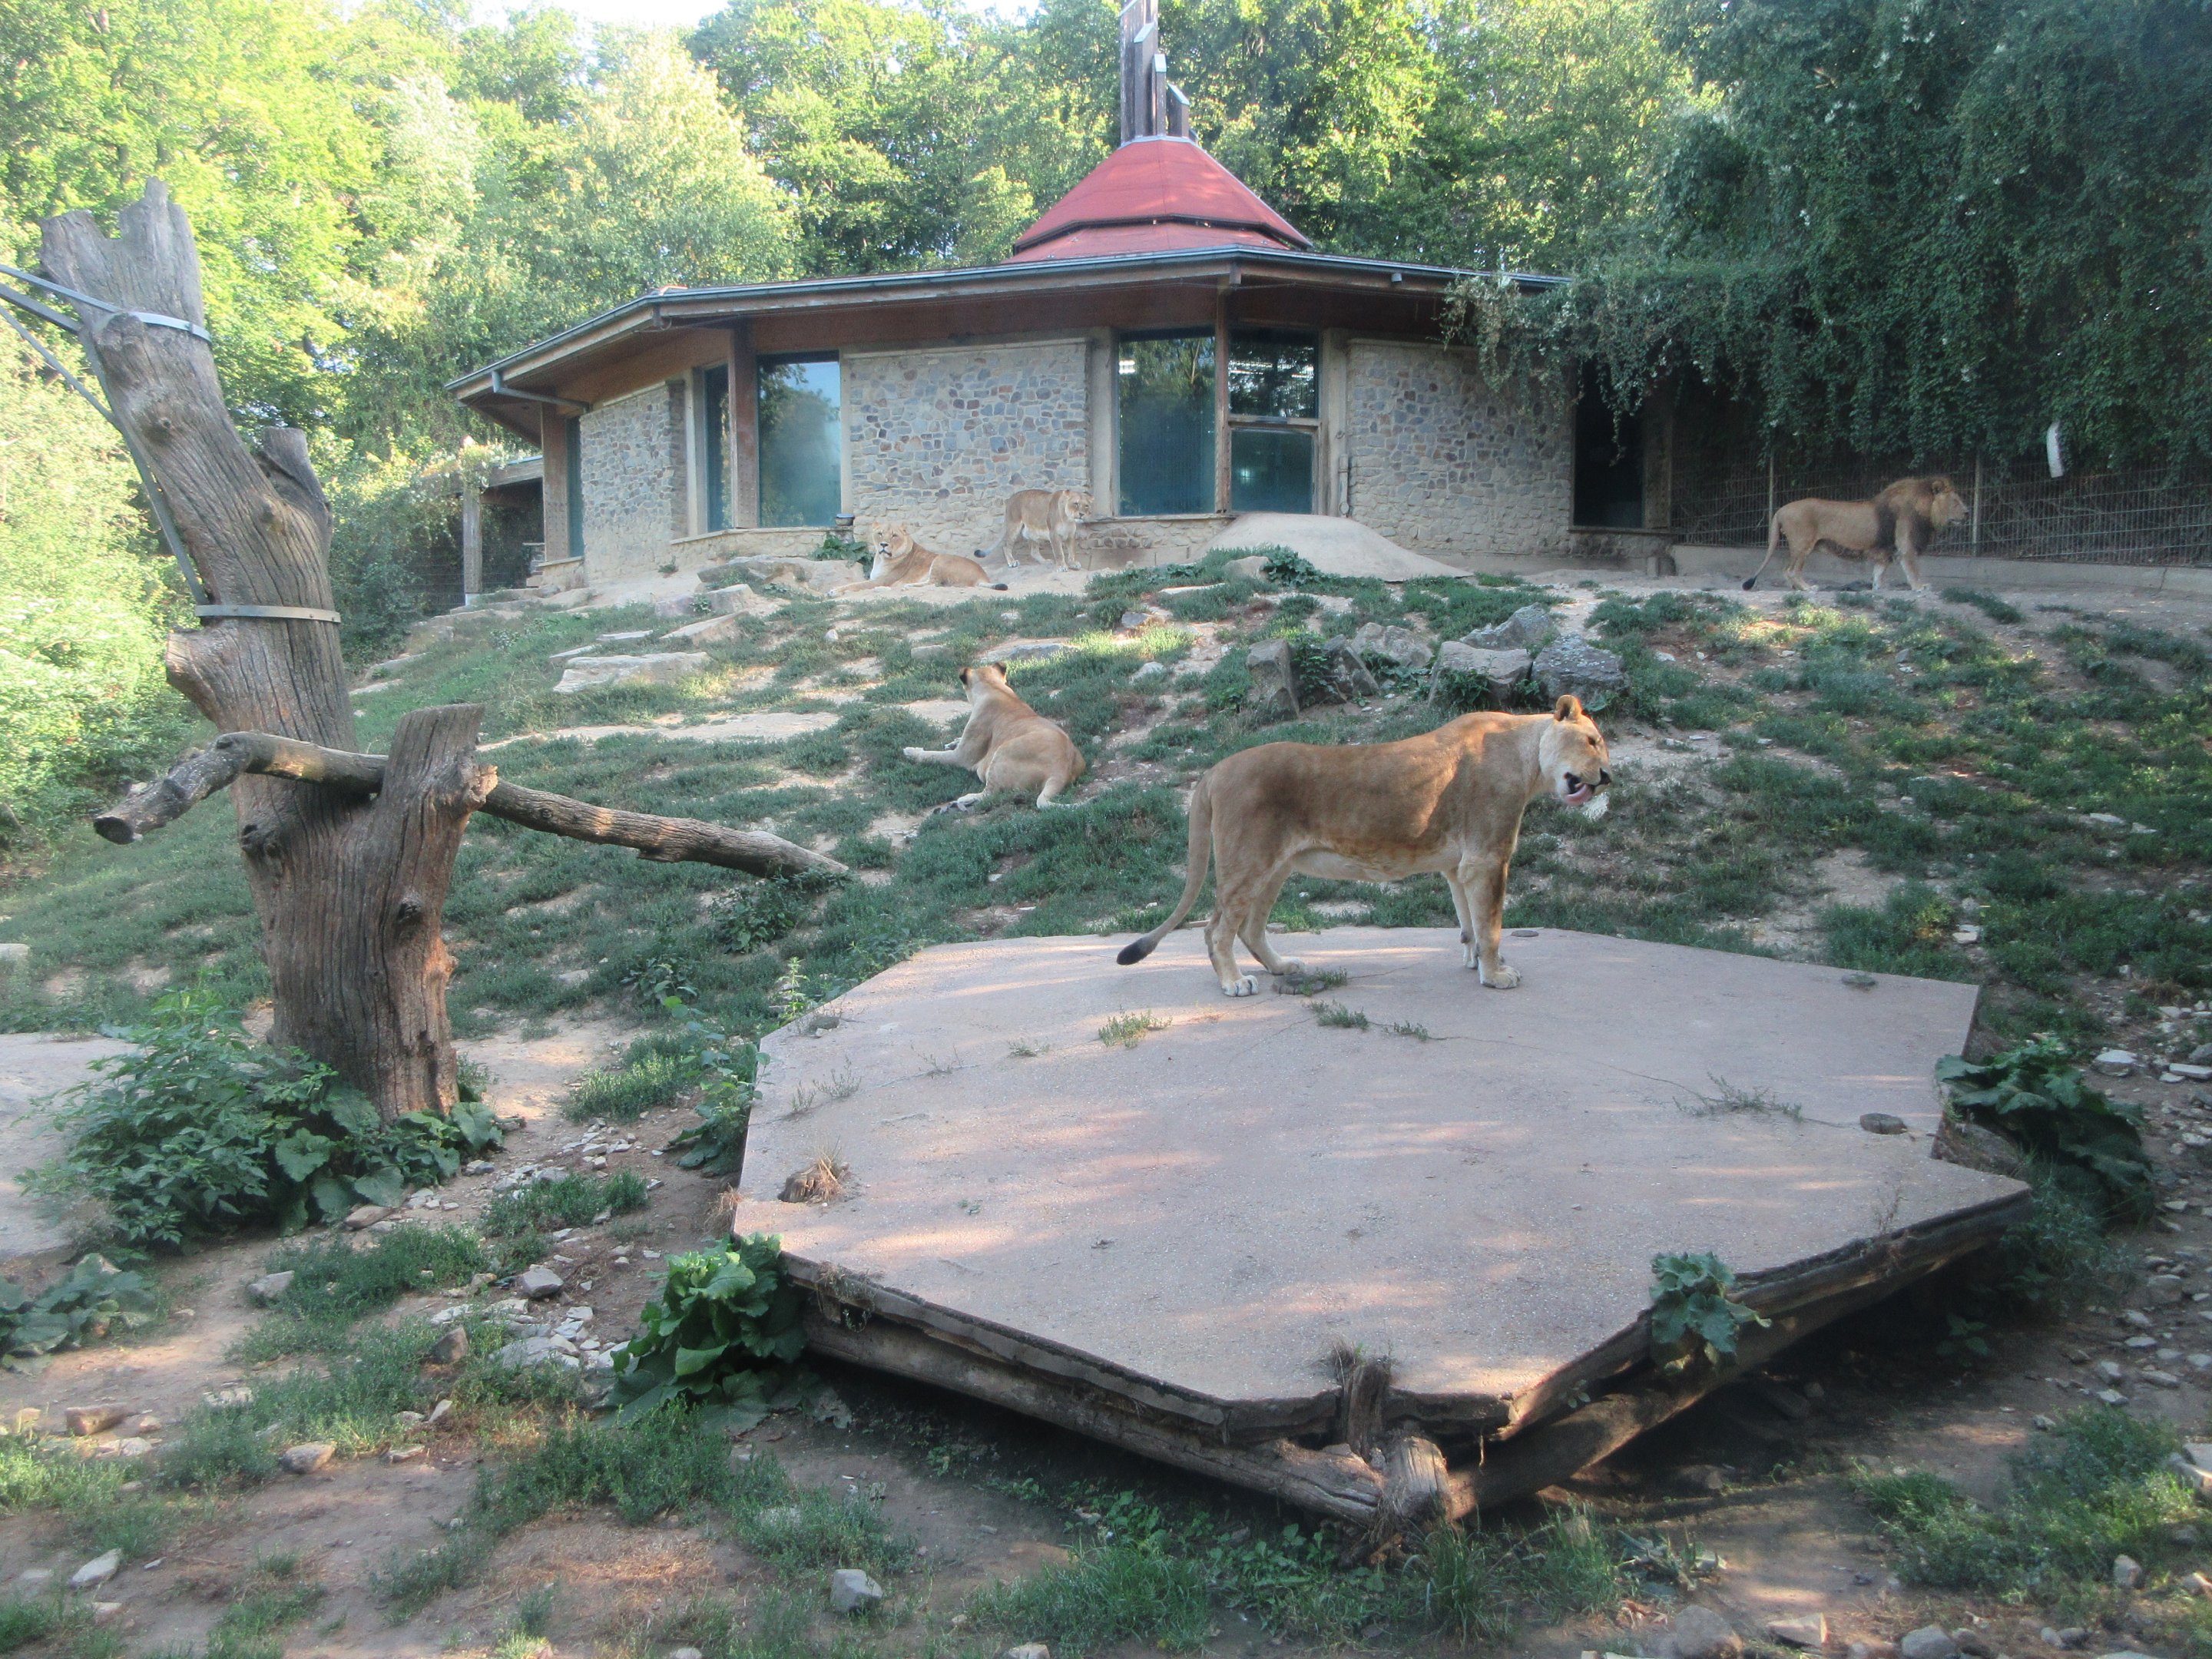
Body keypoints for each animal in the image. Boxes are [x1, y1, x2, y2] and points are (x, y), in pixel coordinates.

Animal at [838, 525, 1006, 592]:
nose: (883, 545)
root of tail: (982, 576)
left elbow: (855, 585)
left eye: (894, 535)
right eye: (880, 533)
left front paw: (835, 591)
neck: (881, 559)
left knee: (934, 584)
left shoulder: (881, 580)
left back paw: (906, 586)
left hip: (940, 559)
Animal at [901, 662, 1088, 808]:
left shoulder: (963, 757)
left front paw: (911, 752)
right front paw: (953, 741)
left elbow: (933, 756)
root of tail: (1060, 772)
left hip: (1002, 751)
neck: (994, 688)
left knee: (990, 793)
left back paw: (965, 799)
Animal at [989, 488, 1090, 570]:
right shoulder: (1053, 534)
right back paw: (1012, 562)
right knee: (1006, 547)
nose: (1082, 514)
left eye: (1086, 506)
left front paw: (1073, 563)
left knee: (1034, 552)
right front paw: (1062, 566)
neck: (1068, 519)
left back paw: (1046, 562)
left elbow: (1072, 551)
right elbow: (1059, 552)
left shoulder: (1070, 535)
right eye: (1076, 503)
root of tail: (1011, 498)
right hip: (1014, 526)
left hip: (1033, 532)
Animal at [1116, 696, 1612, 996]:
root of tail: (1216, 769)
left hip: (1276, 868)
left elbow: (1469, 922)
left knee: (1250, 929)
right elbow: (1490, 925)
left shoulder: (1459, 867)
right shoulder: (1487, 859)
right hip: (1248, 864)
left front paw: (1477, 963)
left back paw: (1282, 967)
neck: (1528, 758)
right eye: (1592, 741)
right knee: (1216, 928)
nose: (1607, 776)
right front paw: (1497, 975)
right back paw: (1235, 983)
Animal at [1742, 476, 1967, 592]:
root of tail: (1781, 509)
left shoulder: (1886, 550)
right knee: (1790, 569)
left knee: (1787, 570)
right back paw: (1807, 588)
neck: (1926, 509)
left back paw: (1797, 589)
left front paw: (1879, 588)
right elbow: (1912, 568)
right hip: (1802, 544)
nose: (1967, 512)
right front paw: (1920, 587)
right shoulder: (1906, 543)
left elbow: (1879, 571)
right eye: (1956, 502)